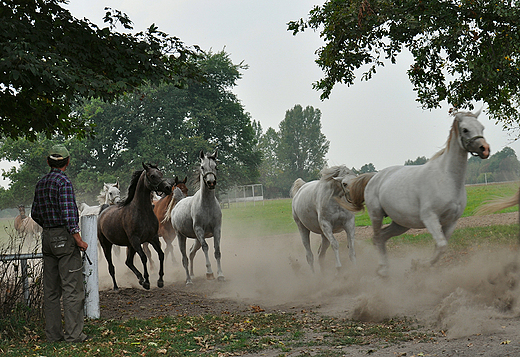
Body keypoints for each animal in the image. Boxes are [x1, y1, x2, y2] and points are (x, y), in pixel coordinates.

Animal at [97, 162, 171, 290]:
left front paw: (160, 280)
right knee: (111, 267)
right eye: (152, 176)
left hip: (129, 245)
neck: (141, 211)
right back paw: (116, 286)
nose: (168, 187)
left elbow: (161, 254)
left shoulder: (153, 238)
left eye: (161, 173)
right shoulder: (136, 240)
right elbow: (144, 258)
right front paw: (147, 281)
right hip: (106, 245)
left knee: (128, 262)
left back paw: (139, 278)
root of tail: (103, 211)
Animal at [168, 149, 222, 286]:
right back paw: (188, 280)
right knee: (185, 258)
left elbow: (217, 250)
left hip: (196, 239)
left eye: (216, 166)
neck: (207, 205)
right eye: (202, 166)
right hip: (181, 236)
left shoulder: (217, 229)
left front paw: (220, 274)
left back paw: (192, 274)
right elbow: (206, 247)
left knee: (191, 253)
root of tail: (179, 202)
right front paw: (209, 273)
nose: (211, 182)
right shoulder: (199, 230)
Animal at [344, 110, 490, 276]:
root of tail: (375, 176)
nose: (485, 149)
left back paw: (386, 268)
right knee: (376, 238)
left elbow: (440, 247)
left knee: (382, 237)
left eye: (482, 127)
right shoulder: (430, 217)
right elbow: (441, 246)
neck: (447, 178)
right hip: (376, 215)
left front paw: (418, 264)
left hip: (401, 223)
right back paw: (382, 269)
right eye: (465, 129)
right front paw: (419, 264)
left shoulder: (451, 221)